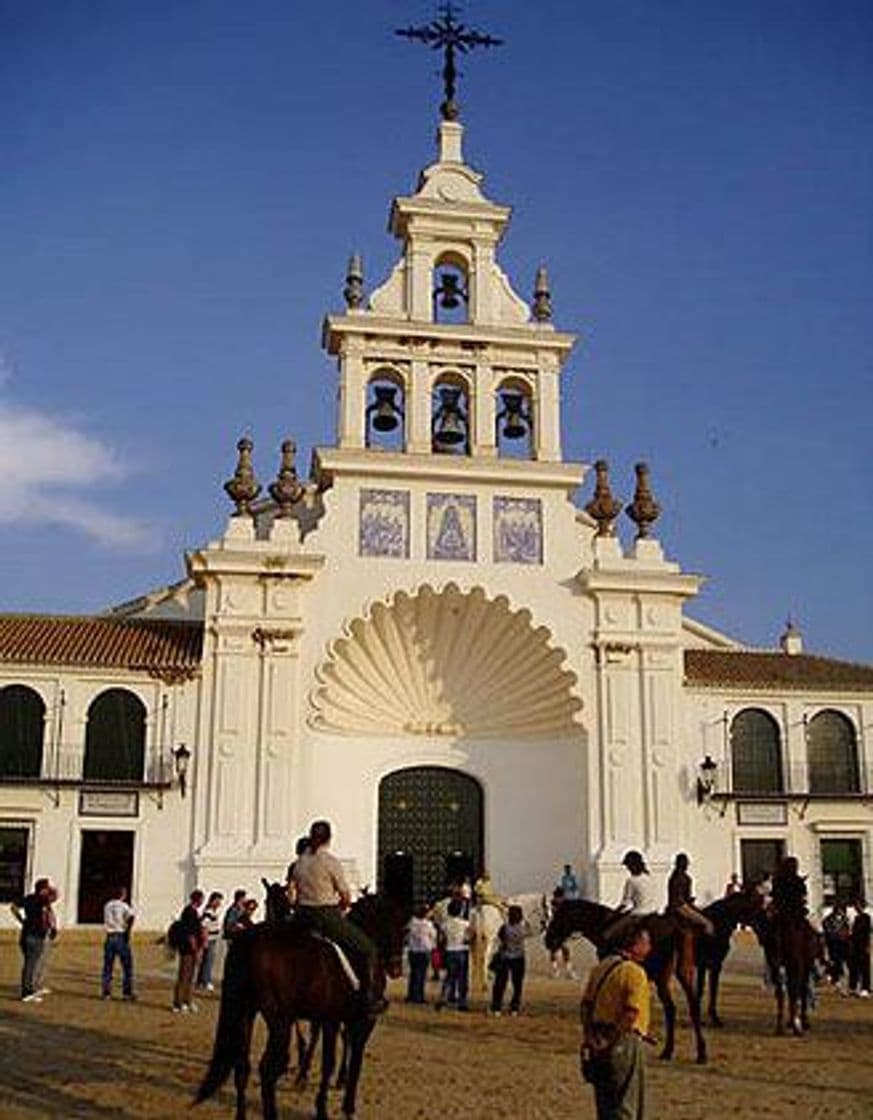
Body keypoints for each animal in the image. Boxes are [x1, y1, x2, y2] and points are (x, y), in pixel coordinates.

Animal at [194, 891, 405, 1120]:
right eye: (393, 925)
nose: (396, 968)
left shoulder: (331, 1020)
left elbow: (329, 1058)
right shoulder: (361, 1021)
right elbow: (345, 1062)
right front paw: (340, 1108)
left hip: (246, 1013)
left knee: (242, 1066)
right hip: (280, 1021)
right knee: (267, 1069)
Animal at [546, 896, 708, 1061]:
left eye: (557, 916)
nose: (548, 940)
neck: (602, 923)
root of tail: (676, 929)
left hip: (662, 978)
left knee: (670, 1008)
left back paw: (668, 1051)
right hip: (685, 972)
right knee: (694, 1006)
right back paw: (701, 1053)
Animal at [694, 887, 766, 1025]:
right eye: (757, 907)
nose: (764, 930)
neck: (715, 926)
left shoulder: (710, 965)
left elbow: (709, 989)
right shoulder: (710, 965)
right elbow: (706, 990)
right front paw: (711, 1018)